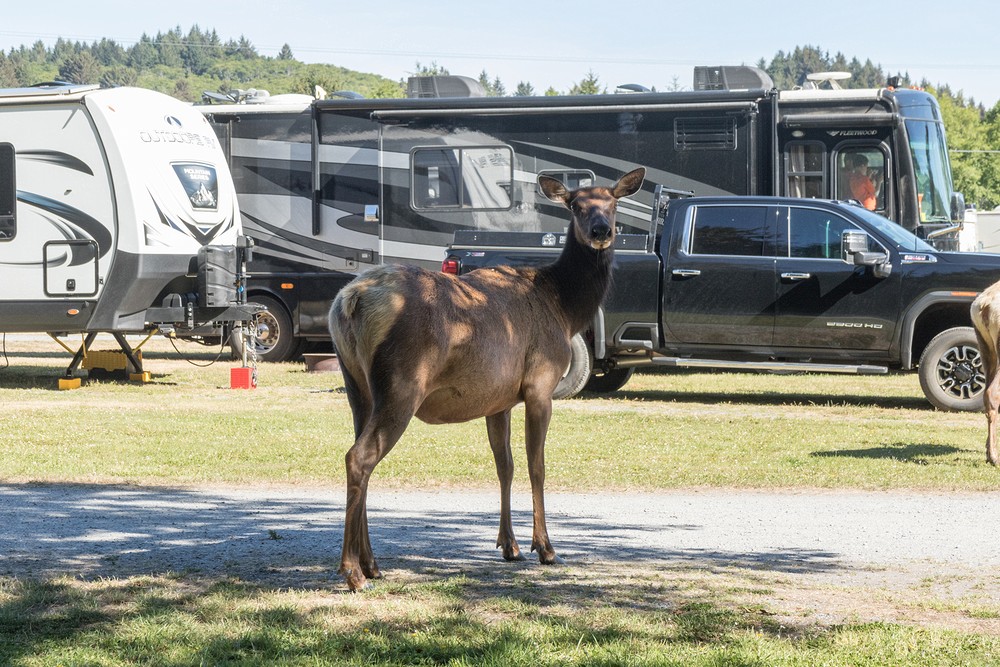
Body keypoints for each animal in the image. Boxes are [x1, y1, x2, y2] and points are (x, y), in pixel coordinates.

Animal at [327, 167, 645, 591]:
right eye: (576, 205)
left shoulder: (499, 399)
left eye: (612, 202)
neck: (565, 308)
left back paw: (371, 564)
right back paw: (353, 572)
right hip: (402, 383)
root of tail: (350, 300)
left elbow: (504, 465)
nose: (600, 230)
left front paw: (509, 545)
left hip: (356, 385)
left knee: (358, 451)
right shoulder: (540, 383)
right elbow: (537, 465)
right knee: (359, 456)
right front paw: (545, 548)